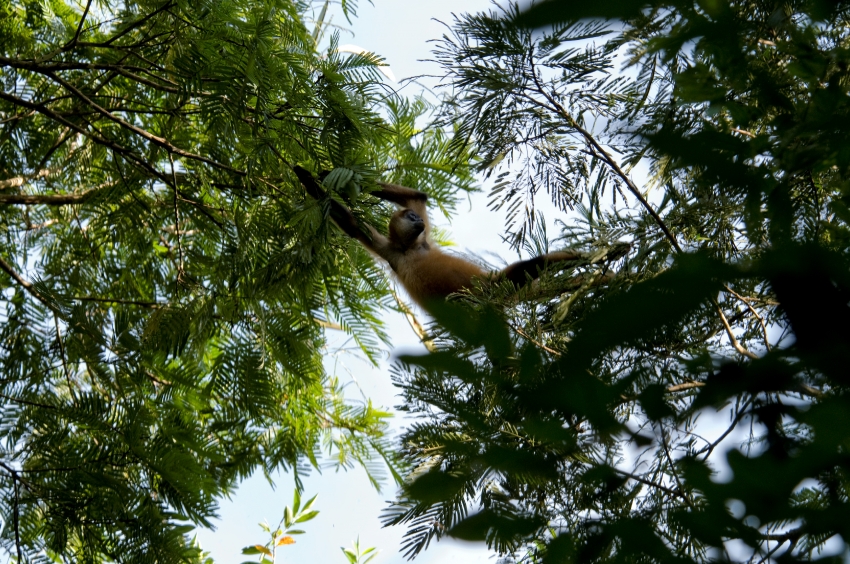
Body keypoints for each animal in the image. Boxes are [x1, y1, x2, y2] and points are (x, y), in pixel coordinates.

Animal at [294, 165, 584, 310]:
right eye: (411, 218)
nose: (419, 221)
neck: (410, 249)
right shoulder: (390, 250)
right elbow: (352, 225)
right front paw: (308, 175)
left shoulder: (422, 239)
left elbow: (419, 196)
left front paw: (323, 174)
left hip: (492, 286)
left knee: (529, 267)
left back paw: (579, 258)